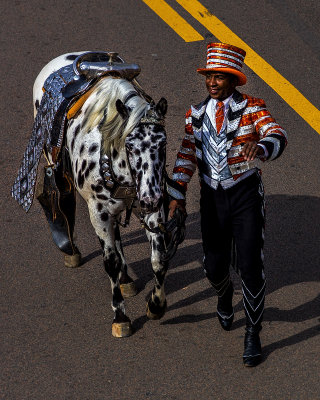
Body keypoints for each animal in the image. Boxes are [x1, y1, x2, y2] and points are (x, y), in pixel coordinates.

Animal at [27, 50, 184, 338]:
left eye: (163, 143)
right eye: (130, 146)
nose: (150, 198)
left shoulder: (151, 210)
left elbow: (159, 259)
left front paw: (156, 305)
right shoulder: (98, 211)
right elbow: (109, 261)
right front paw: (120, 317)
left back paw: (126, 279)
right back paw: (73, 251)